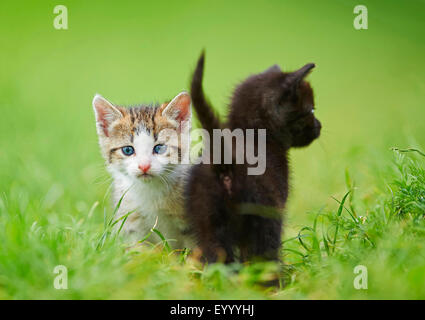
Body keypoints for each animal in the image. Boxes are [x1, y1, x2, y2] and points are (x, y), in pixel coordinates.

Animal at [184, 52, 320, 262]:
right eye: (312, 110)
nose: (319, 125)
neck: (254, 135)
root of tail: (226, 163)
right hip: (263, 215)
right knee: (264, 253)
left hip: (206, 219)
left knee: (218, 256)